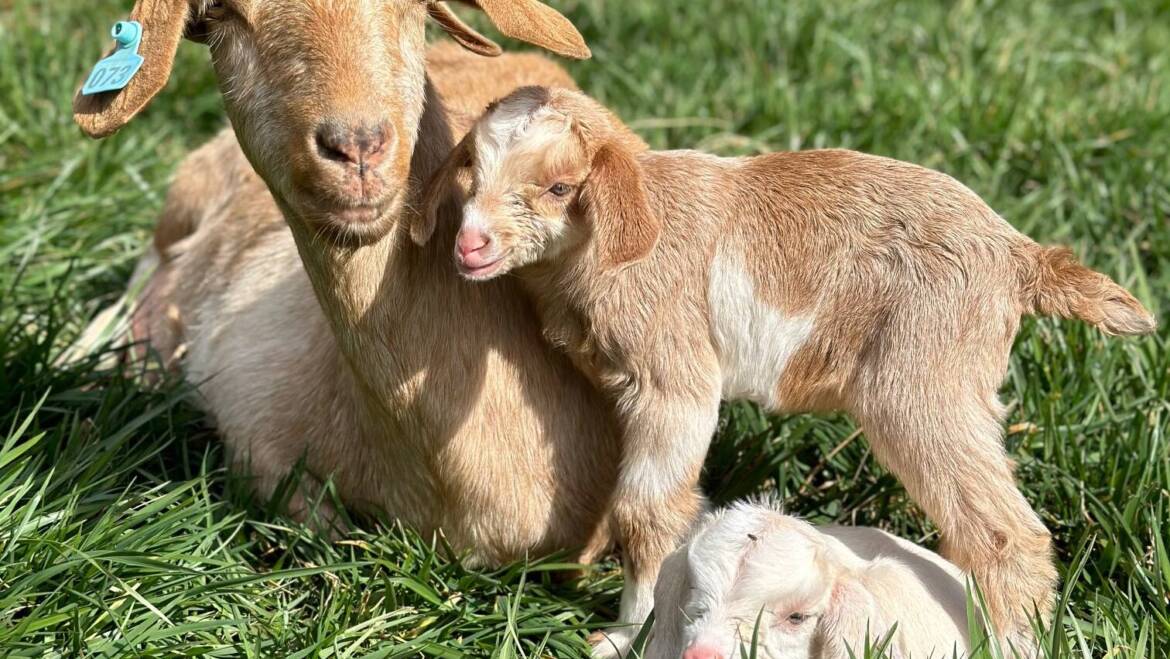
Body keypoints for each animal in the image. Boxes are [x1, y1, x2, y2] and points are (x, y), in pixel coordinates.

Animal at [417, 86, 1157, 654]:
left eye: (559, 187)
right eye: (470, 171)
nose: (470, 244)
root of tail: (1019, 254)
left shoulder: (674, 375)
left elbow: (648, 508)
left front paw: (627, 632)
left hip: (923, 382)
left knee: (1005, 533)